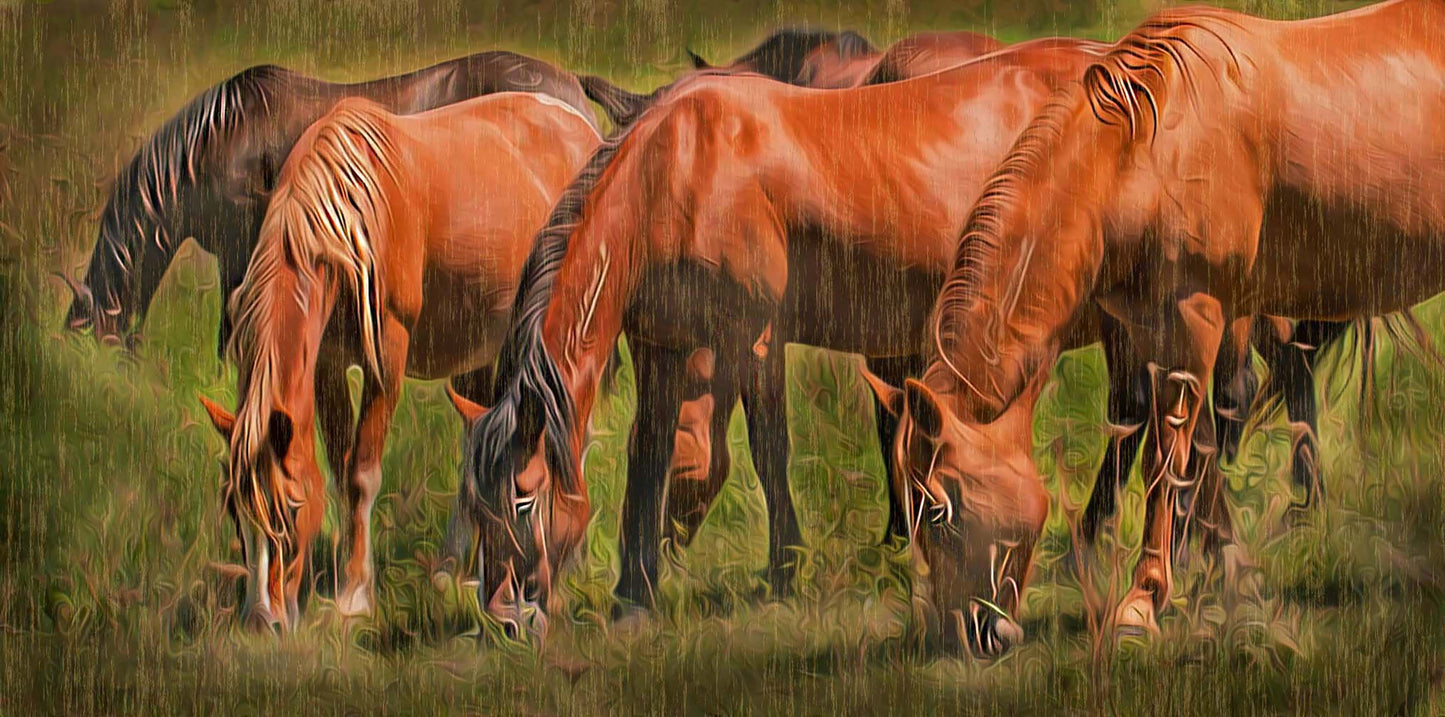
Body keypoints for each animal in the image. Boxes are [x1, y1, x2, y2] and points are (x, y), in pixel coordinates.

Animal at [192, 92, 598, 630]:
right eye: (237, 514)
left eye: (291, 508)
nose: (262, 620)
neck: (345, 223)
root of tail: (579, 123)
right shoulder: (327, 363)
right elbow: (340, 472)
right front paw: (342, 577)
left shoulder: (387, 356)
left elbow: (362, 473)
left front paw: (355, 596)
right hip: (485, 345)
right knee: (479, 437)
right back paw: (454, 569)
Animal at [445, 39, 1121, 638]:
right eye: (476, 508)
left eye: (525, 499)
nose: (506, 618)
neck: (678, 174)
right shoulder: (662, 345)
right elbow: (650, 451)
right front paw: (634, 596)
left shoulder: (753, 338)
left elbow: (770, 449)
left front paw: (782, 574)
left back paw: (1092, 551)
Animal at [878, 0, 1445, 653]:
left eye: (941, 509)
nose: (965, 635)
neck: (1143, 154)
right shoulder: (1147, 329)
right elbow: (1194, 454)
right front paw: (1231, 573)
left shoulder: (1194, 318)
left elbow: (1166, 460)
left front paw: (1141, 603)